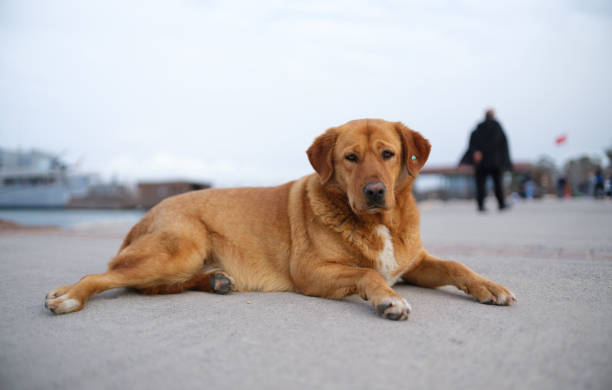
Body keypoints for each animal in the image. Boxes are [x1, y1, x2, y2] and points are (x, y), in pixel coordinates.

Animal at [43, 119, 512, 320]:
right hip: (179, 249)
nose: (375, 192)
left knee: (150, 287)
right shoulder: (312, 272)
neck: (378, 223)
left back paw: (215, 281)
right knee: (104, 276)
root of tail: (143, 216)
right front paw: (387, 299)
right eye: (350, 158)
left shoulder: (412, 263)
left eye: (388, 154)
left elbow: (456, 265)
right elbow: (366, 274)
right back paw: (66, 297)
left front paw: (490, 286)